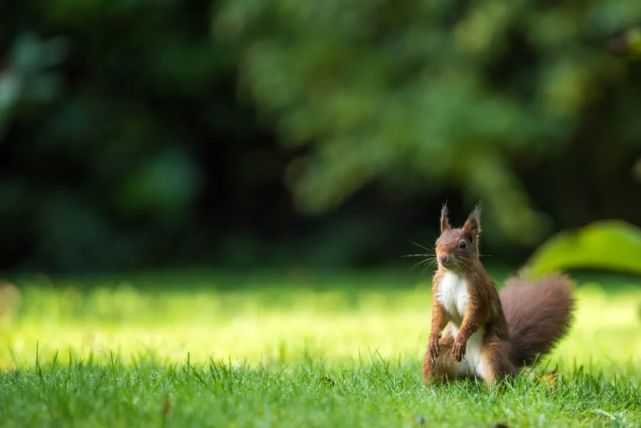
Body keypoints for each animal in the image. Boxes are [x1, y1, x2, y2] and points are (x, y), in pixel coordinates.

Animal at [422, 204, 572, 384]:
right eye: (436, 242)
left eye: (462, 245)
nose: (442, 258)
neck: (454, 274)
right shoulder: (440, 291)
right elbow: (439, 316)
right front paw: (432, 337)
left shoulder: (479, 293)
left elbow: (475, 316)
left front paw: (461, 339)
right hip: (440, 357)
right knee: (435, 366)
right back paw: (436, 387)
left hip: (493, 353)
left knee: (503, 376)